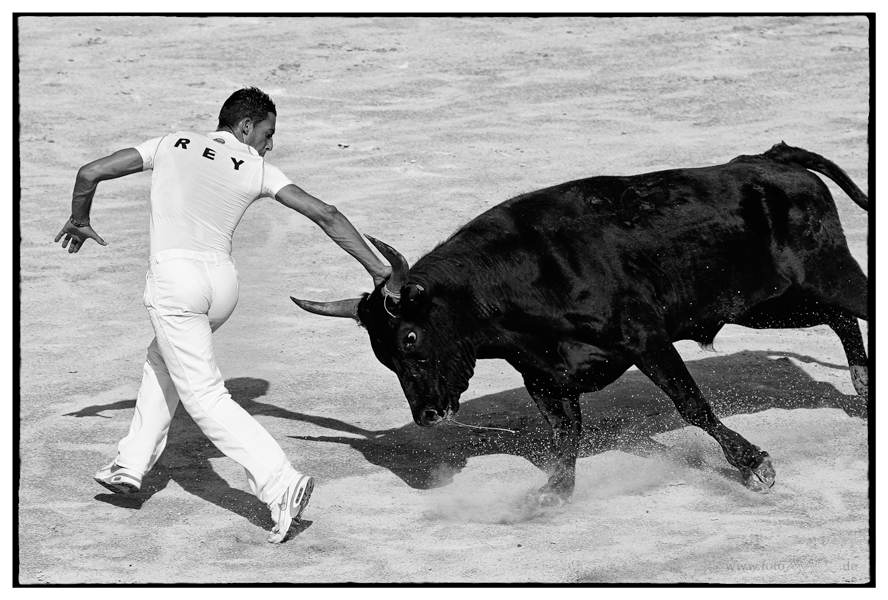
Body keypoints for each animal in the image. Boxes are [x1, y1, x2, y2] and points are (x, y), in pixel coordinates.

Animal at [292, 144, 868, 506]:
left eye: (409, 337)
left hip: (825, 275)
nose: (427, 415)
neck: (513, 282)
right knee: (842, 321)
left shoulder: (645, 336)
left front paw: (754, 465)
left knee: (857, 307)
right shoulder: (544, 374)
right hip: (771, 305)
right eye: (382, 356)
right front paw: (552, 494)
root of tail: (768, 160)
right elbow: (564, 433)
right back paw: (863, 392)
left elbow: (691, 403)